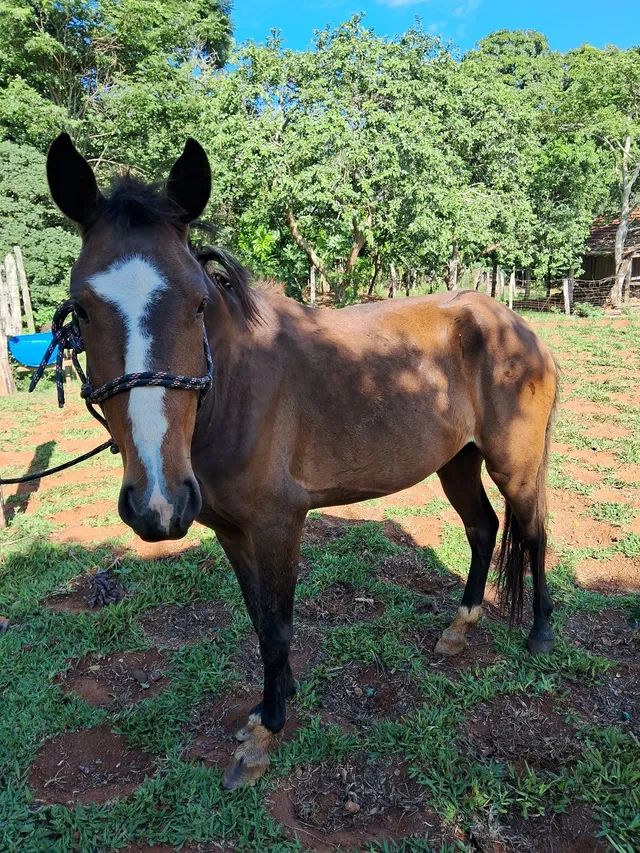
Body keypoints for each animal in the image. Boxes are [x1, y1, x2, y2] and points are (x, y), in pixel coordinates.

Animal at [45, 135, 556, 792]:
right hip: (457, 461)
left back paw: (540, 632)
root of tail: (514, 324)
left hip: (513, 463)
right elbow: (260, 619)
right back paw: (459, 627)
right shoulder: (231, 530)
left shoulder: (279, 524)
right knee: (482, 527)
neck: (236, 389)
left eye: (198, 304)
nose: (157, 503)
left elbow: (279, 624)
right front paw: (275, 698)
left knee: (533, 532)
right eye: (82, 309)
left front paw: (266, 733)